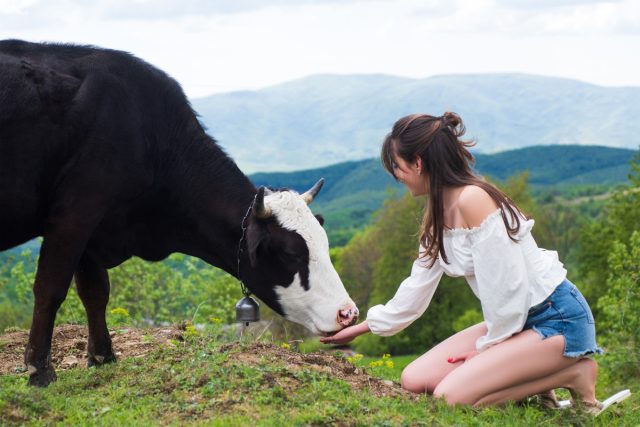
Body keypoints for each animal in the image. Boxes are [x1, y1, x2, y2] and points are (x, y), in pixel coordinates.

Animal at [0, 40, 359, 387]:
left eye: (325, 245)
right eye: (290, 253)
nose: (348, 313)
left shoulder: (94, 228)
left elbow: (95, 292)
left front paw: (104, 357)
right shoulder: (76, 213)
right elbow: (50, 288)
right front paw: (39, 370)